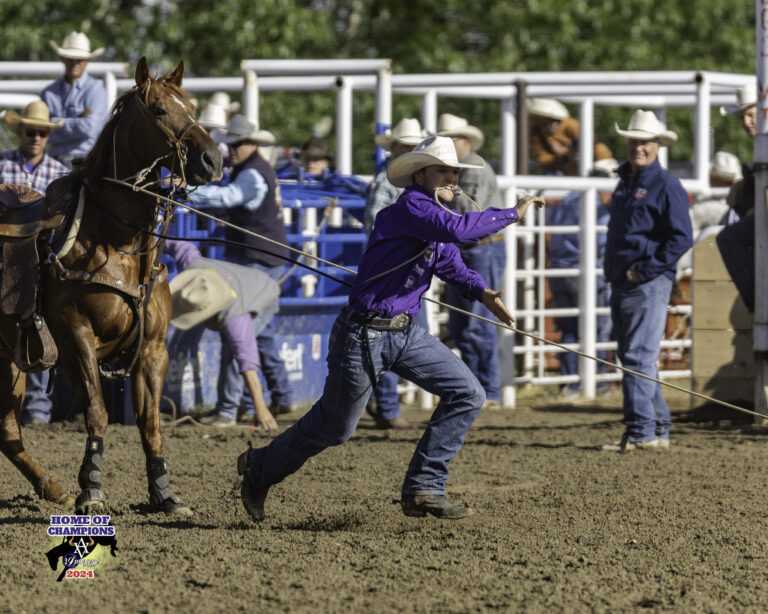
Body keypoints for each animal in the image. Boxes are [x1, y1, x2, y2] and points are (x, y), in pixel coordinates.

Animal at [0, 57, 222, 516]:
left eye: (192, 106)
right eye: (159, 110)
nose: (212, 160)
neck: (116, 242)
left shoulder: (153, 348)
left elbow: (150, 421)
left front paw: (164, 494)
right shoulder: (76, 339)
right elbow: (97, 412)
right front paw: (91, 489)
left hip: (9, 358)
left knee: (7, 429)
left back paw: (52, 488)